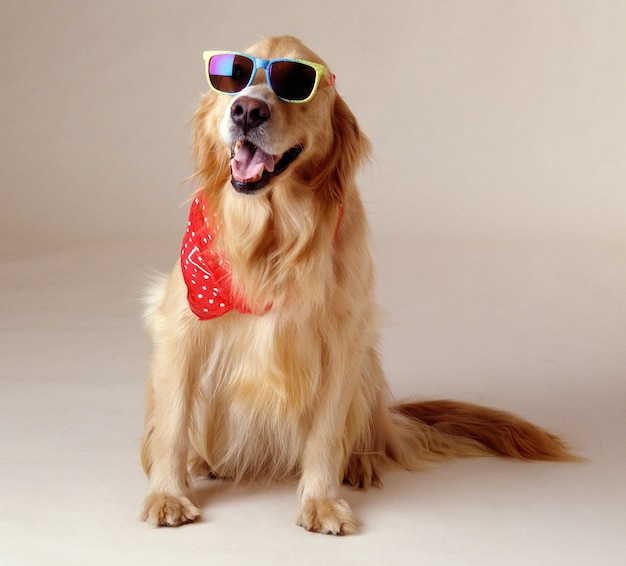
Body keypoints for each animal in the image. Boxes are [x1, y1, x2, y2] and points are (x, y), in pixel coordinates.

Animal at [139, 36, 572, 536]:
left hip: (368, 365)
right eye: (234, 75)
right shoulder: (182, 326)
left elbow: (326, 434)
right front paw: (167, 493)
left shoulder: (343, 340)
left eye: (296, 82)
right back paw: (206, 463)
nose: (247, 110)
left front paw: (322, 501)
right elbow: (172, 426)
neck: (274, 238)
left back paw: (361, 464)